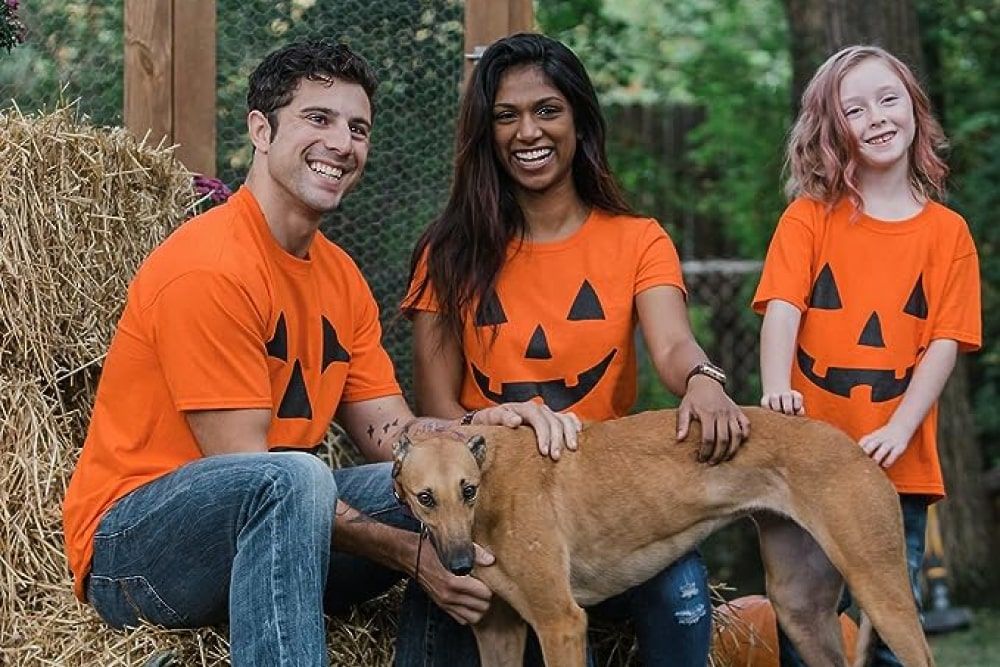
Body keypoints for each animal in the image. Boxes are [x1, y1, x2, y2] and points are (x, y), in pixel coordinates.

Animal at [392, 408, 936, 667]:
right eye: (424, 498)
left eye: (468, 490)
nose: (460, 565)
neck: (493, 474)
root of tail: (860, 450)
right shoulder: (498, 631)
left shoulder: (560, 622)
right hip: (801, 611)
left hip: (881, 592)